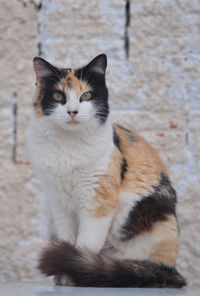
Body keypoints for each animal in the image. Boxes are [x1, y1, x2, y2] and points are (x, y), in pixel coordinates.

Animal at [26, 54, 186, 288]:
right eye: (58, 95)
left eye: (86, 95)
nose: (72, 112)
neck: (67, 146)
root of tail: (172, 271)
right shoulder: (59, 202)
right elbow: (67, 238)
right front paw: (62, 274)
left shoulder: (99, 199)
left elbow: (86, 243)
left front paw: (72, 272)